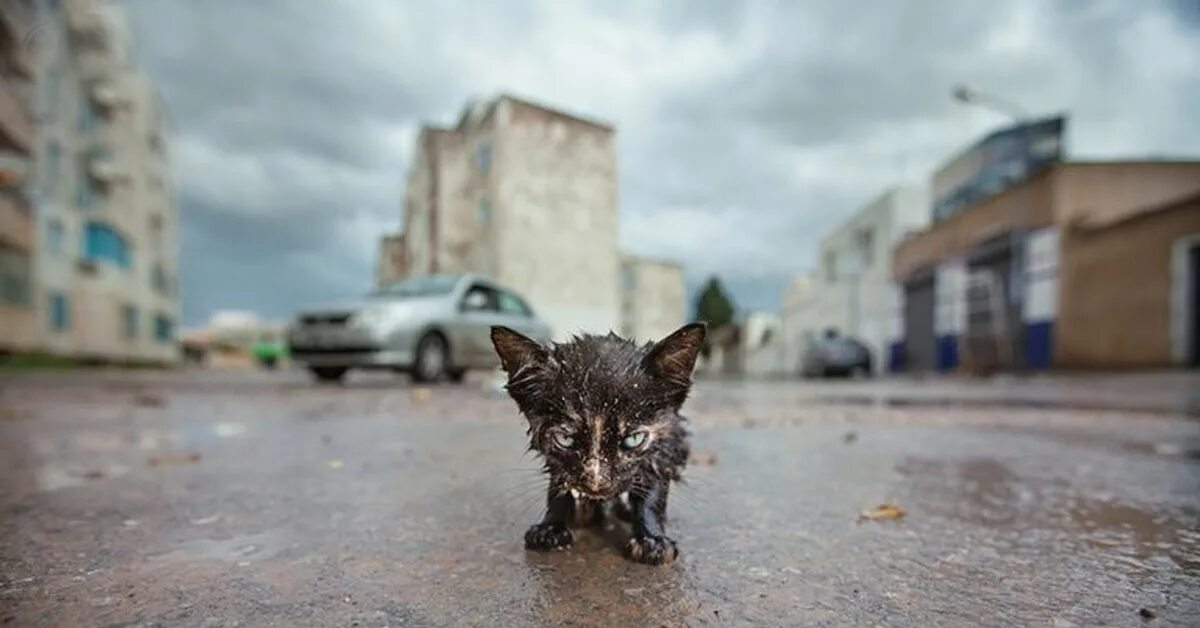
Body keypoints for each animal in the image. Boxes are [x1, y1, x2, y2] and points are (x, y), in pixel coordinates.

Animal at [492, 324, 705, 564]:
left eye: (633, 439)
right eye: (564, 439)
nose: (597, 484)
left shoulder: (665, 444)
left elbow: (652, 490)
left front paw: (651, 538)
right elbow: (558, 484)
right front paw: (551, 525)